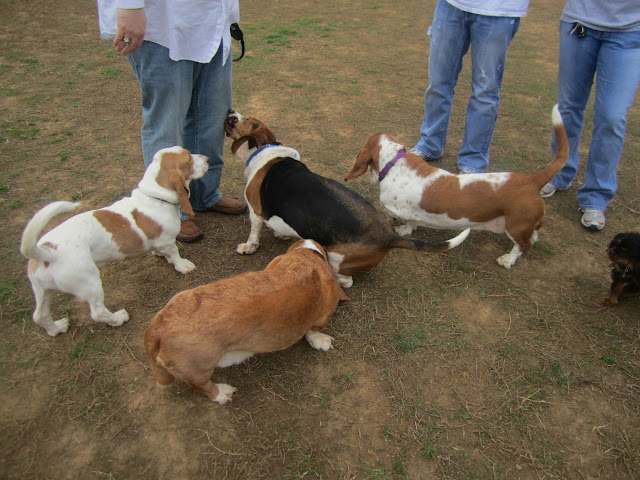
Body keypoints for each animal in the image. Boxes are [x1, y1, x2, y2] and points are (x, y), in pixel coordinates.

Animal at [20, 146, 208, 336]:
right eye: (188, 159)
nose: (207, 159)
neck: (154, 196)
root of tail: (47, 252)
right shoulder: (167, 242)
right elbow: (174, 254)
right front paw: (183, 265)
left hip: (44, 291)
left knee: (39, 315)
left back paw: (57, 328)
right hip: (91, 282)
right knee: (97, 312)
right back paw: (118, 318)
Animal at [144, 239, 348, 404]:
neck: (307, 256)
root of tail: (157, 327)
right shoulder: (321, 317)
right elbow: (313, 331)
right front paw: (321, 341)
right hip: (200, 370)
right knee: (199, 386)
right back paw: (222, 393)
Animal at [223, 110, 470, 288]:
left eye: (250, 122)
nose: (230, 112)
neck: (265, 150)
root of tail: (387, 236)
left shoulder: (255, 211)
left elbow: (254, 233)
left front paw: (248, 247)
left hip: (337, 257)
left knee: (347, 281)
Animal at [345, 104, 569, 269]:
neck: (394, 162)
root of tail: (531, 180)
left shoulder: (401, 209)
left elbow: (407, 222)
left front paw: (402, 229)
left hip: (515, 226)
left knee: (523, 245)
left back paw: (508, 259)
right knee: (536, 229)